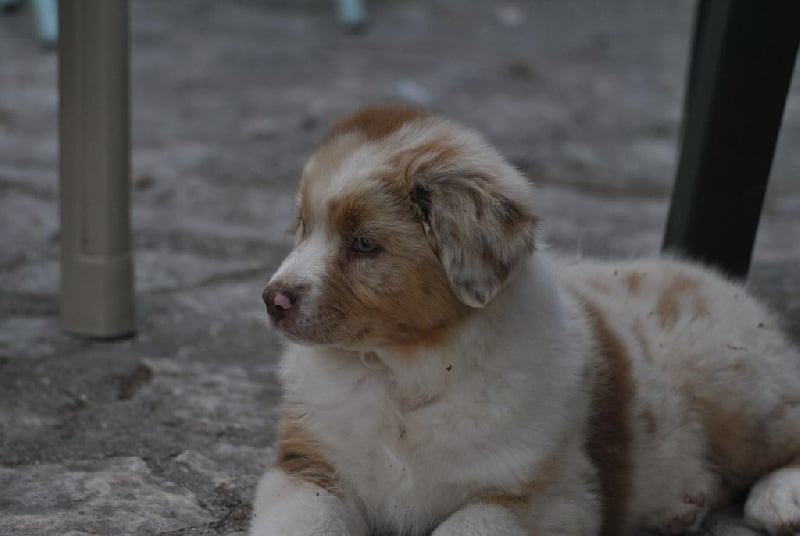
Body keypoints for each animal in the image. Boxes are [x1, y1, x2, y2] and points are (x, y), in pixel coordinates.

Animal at [252, 105, 800, 536]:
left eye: (364, 244)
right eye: (303, 226)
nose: (272, 299)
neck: (405, 373)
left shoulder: (543, 497)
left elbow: (464, 526)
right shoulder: (307, 467)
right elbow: (309, 521)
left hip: (739, 388)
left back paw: (779, 501)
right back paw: (681, 507)